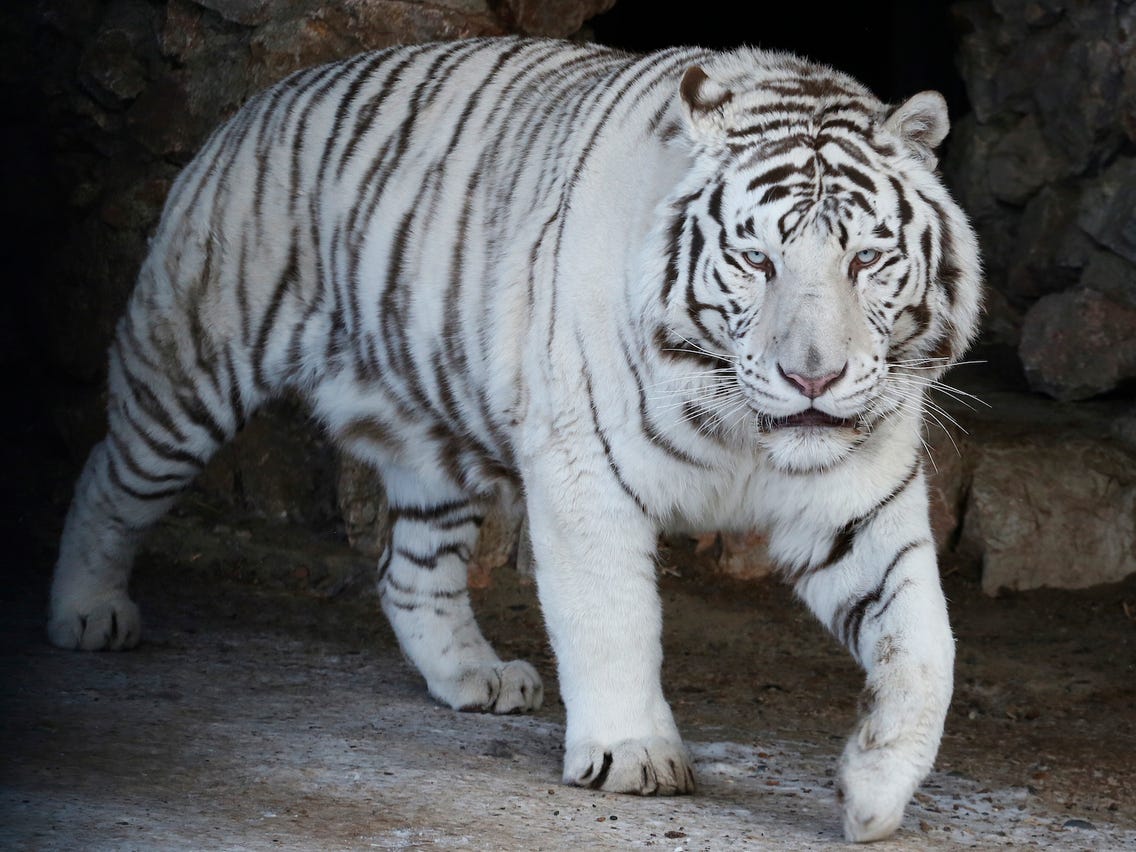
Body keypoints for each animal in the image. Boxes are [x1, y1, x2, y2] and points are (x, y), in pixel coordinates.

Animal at [48, 36, 982, 842]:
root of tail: (256, 102)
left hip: (431, 439)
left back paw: (476, 676)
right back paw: (88, 612)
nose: (813, 378)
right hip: (190, 366)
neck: (745, 431)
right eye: (757, 262)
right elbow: (612, 617)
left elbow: (926, 646)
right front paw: (633, 755)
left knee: (409, 572)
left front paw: (873, 792)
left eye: (866, 260)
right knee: (107, 476)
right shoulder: (585, 470)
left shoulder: (861, 501)